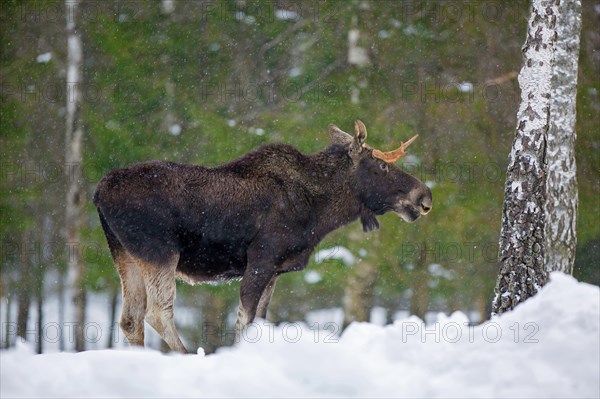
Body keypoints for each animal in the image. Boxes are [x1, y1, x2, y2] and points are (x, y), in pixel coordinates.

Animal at [94, 121, 432, 354]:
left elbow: (258, 319)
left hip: (125, 256)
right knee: (157, 313)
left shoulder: (275, 270)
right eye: (382, 165)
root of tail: (99, 192)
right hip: (159, 252)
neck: (319, 210)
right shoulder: (262, 259)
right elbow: (244, 322)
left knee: (130, 319)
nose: (424, 196)